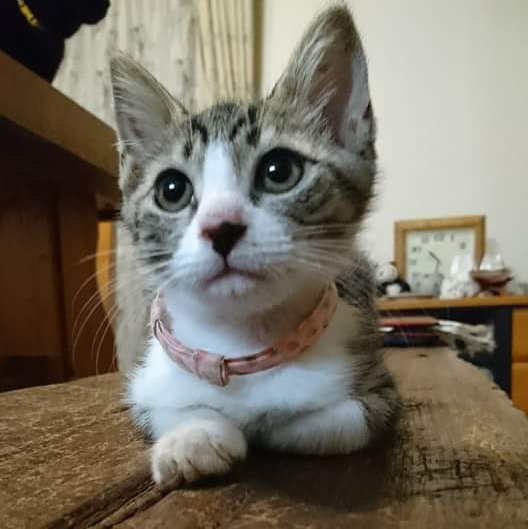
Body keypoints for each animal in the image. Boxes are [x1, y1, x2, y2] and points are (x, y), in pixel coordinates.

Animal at [110, 4, 399, 488]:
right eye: (172, 189)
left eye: (279, 169)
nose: (221, 227)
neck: (241, 343)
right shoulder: (148, 381)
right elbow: (167, 407)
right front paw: (194, 437)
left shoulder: (380, 391)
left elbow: (334, 422)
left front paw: (275, 424)